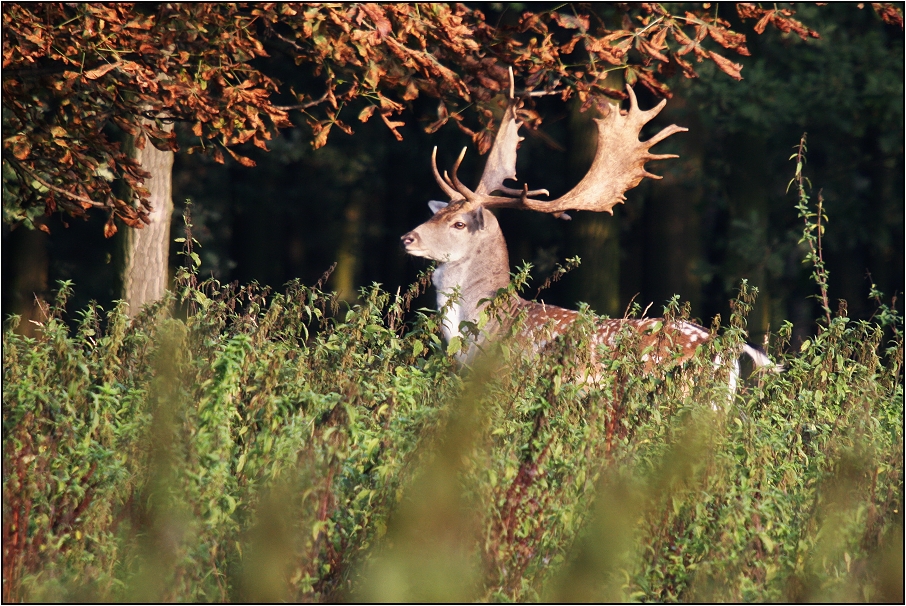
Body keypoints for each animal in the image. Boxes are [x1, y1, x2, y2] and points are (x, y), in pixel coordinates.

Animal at [400, 82, 772, 390]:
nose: (407, 238)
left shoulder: (508, 381)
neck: (485, 333)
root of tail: (726, 348)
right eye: (436, 213)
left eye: (459, 224)